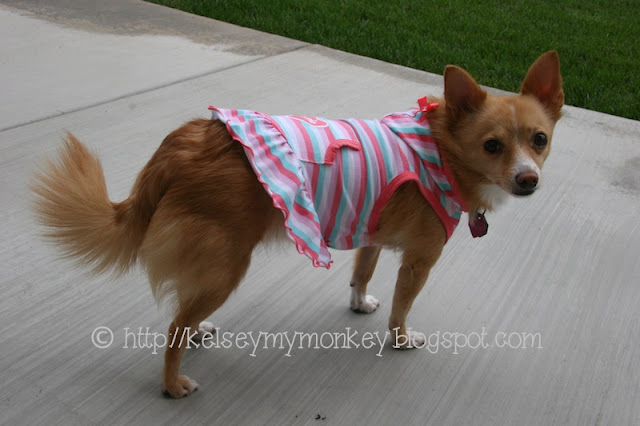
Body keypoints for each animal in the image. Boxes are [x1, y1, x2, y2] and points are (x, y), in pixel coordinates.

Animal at [31, 51, 563, 398]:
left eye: (540, 139)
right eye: (492, 146)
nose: (529, 180)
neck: (442, 148)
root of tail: (183, 144)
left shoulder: (370, 236)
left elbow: (361, 274)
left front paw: (358, 304)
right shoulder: (418, 263)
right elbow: (401, 307)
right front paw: (400, 340)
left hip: (213, 265)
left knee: (185, 309)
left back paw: (197, 330)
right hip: (227, 266)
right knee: (173, 327)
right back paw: (171, 384)